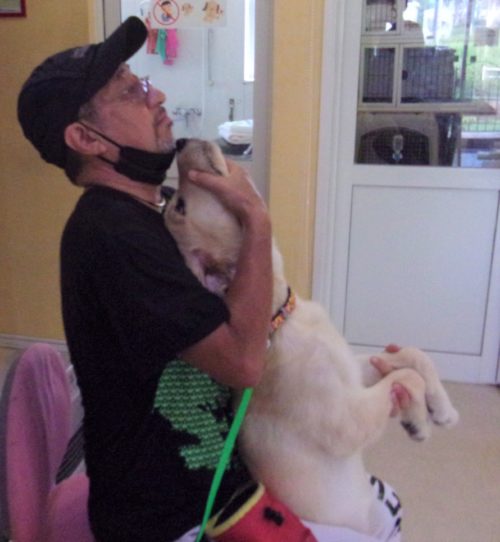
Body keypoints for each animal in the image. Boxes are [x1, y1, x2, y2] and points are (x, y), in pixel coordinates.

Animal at [165, 138, 459, 537]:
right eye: (180, 204)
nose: (179, 142)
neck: (280, 321)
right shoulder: (347, 421)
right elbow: (405, 375)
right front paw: (417, 420)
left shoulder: (351, 370)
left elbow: (413, 355)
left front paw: (442, 409)